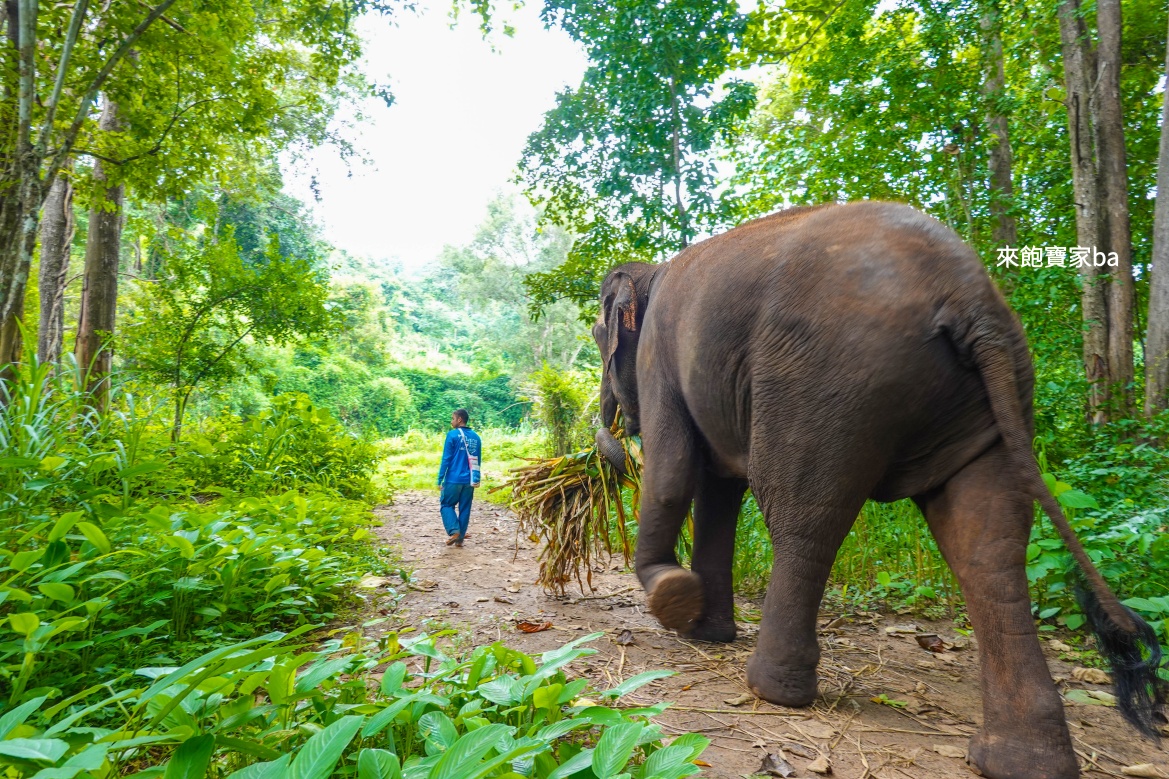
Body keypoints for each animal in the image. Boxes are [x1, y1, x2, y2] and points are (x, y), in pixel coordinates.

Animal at [591, 201, 1164, 779]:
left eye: (596, 337)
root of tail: (968, 297)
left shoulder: (660, 359)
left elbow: (673, 471)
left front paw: (672, 597)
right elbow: (717, 489)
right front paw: (704, 630)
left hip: (826, 380)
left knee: (801, 517)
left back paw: (772, 689)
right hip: (986, 399)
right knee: (987, 546)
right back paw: (1019, 760)